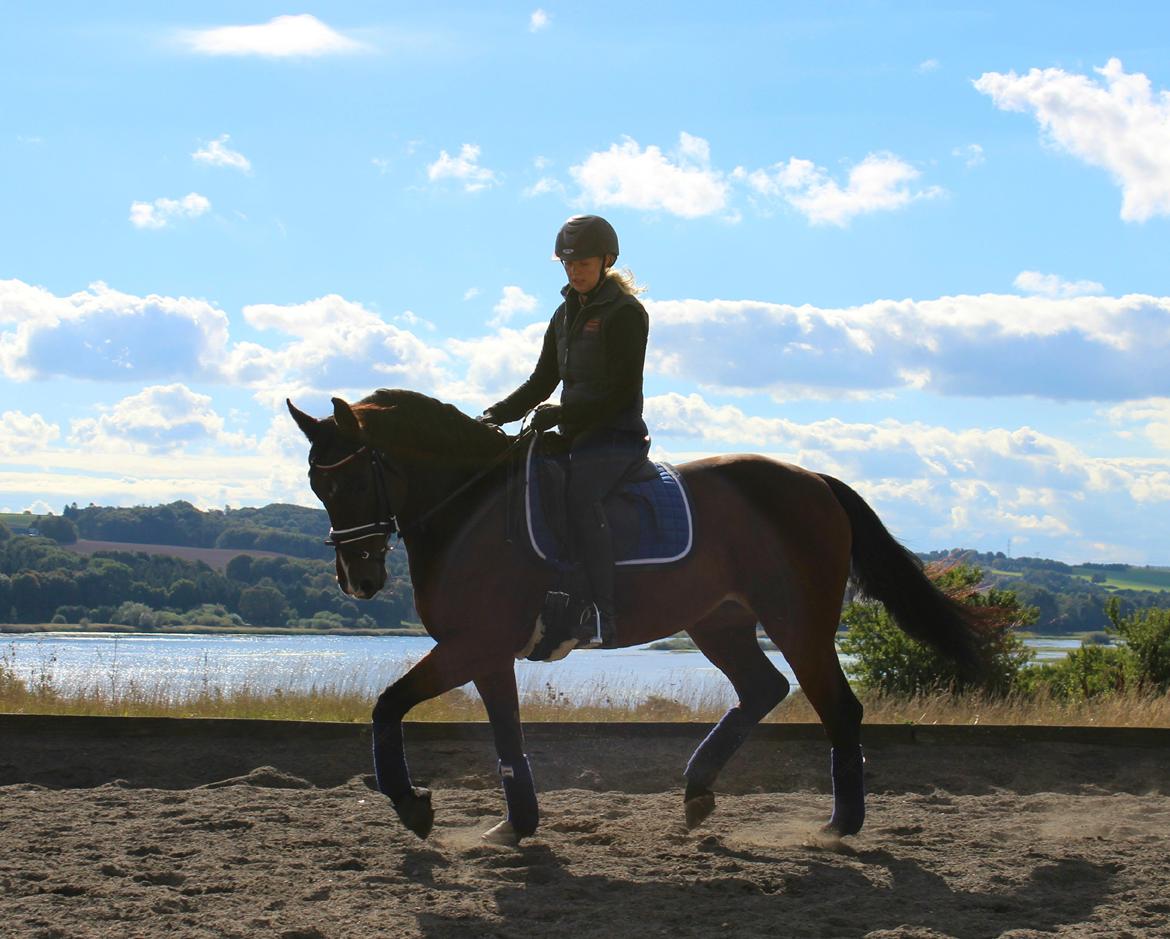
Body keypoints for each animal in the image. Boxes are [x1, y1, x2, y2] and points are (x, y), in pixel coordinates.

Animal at [285, 388, 987, 846]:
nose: (359, 582)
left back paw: (840, 824)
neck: (470, 506)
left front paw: (413, 806)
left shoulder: (470, 644)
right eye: (319, 487)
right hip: (719, 621)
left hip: (799, 623)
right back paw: (699, 791)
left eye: (350, 483)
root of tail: (813, 479)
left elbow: (387, 705)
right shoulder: (485, 652)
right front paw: (513, 824)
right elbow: (505, 733)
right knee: (764, 688)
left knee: (836, 707)